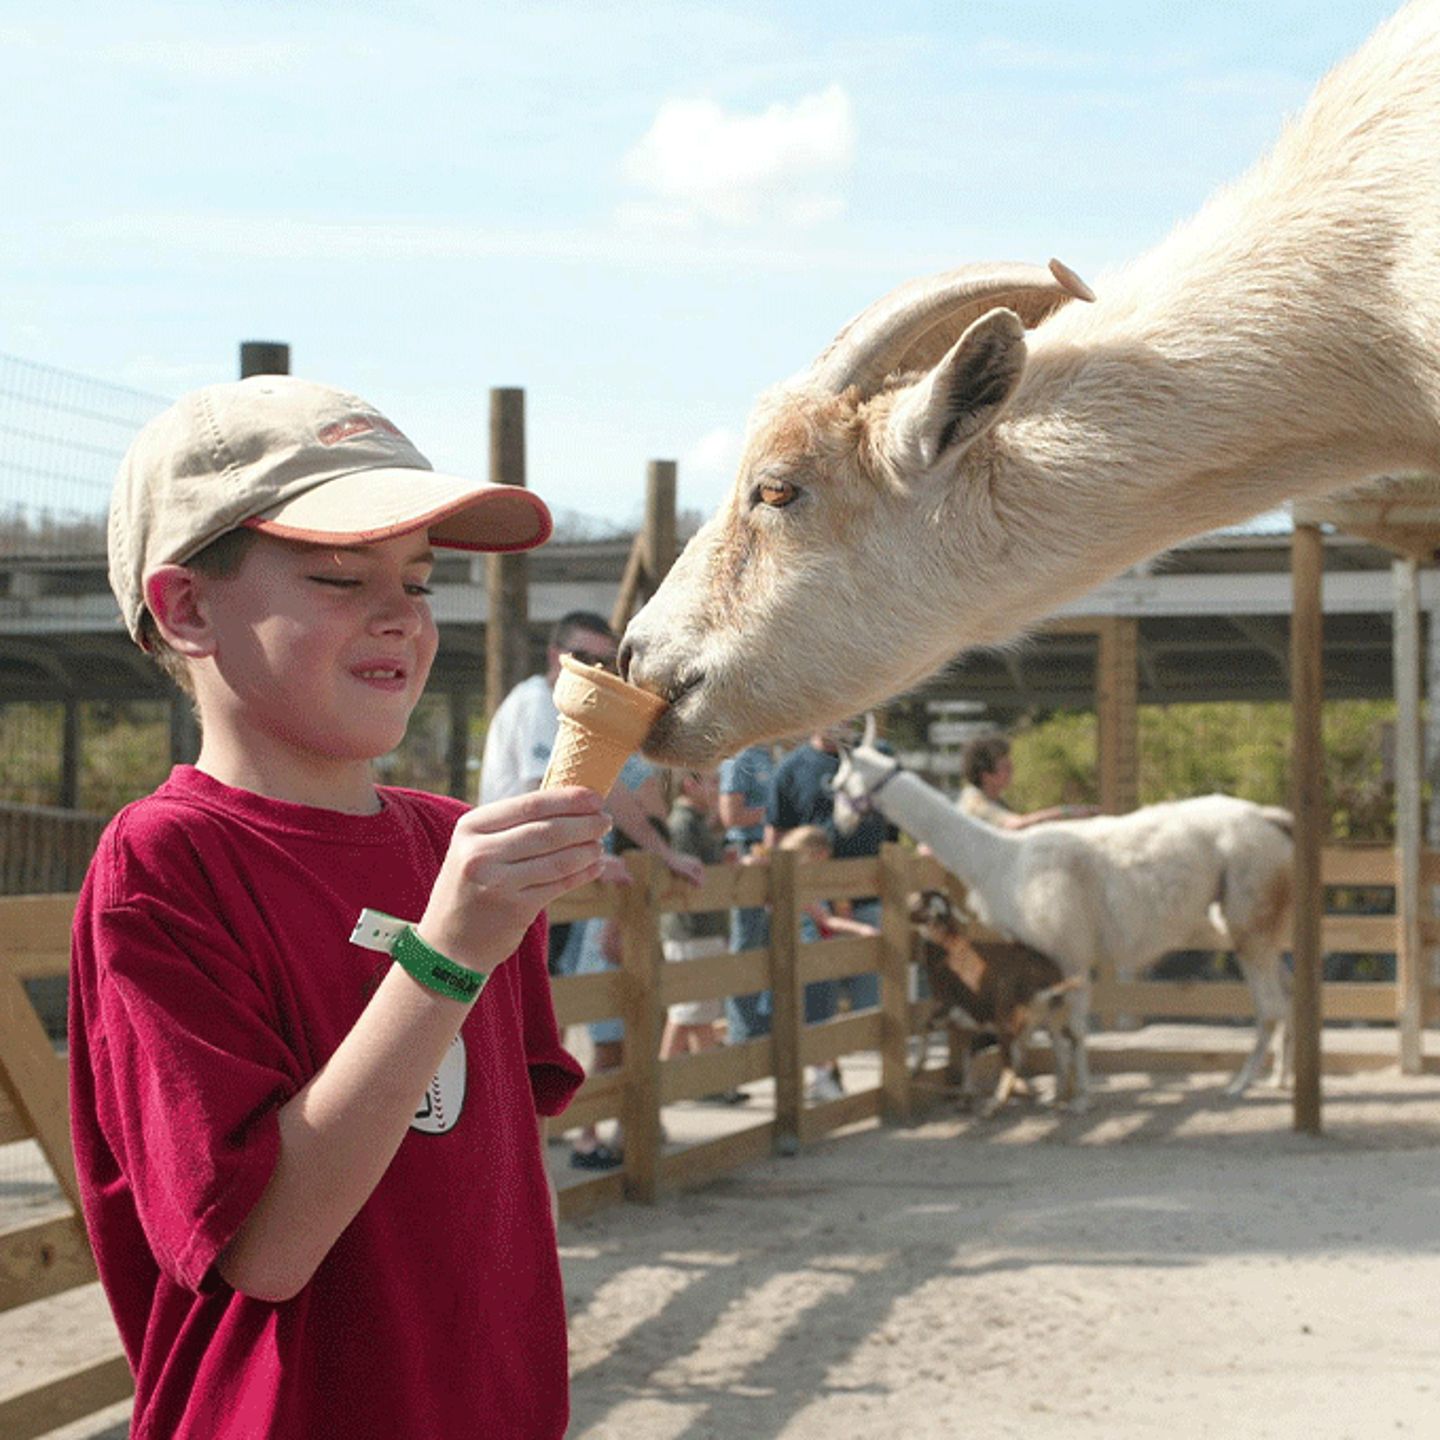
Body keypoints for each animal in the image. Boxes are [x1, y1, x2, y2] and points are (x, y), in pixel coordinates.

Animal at [909, 889, 1081, 1115]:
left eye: (920, 902)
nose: (908, 900)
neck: (948, 948)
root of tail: (1047, 983)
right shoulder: (977, 1022)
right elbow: (969, 1054)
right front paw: (964, 1098)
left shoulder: (946, 1006)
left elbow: (924, 1026)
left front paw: (916, 1068)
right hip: (1050, 1020)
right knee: (1061, 1054)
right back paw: (1059, 1100)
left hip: (1009, 1021)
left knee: (1012, 1063)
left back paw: (993, 1105)